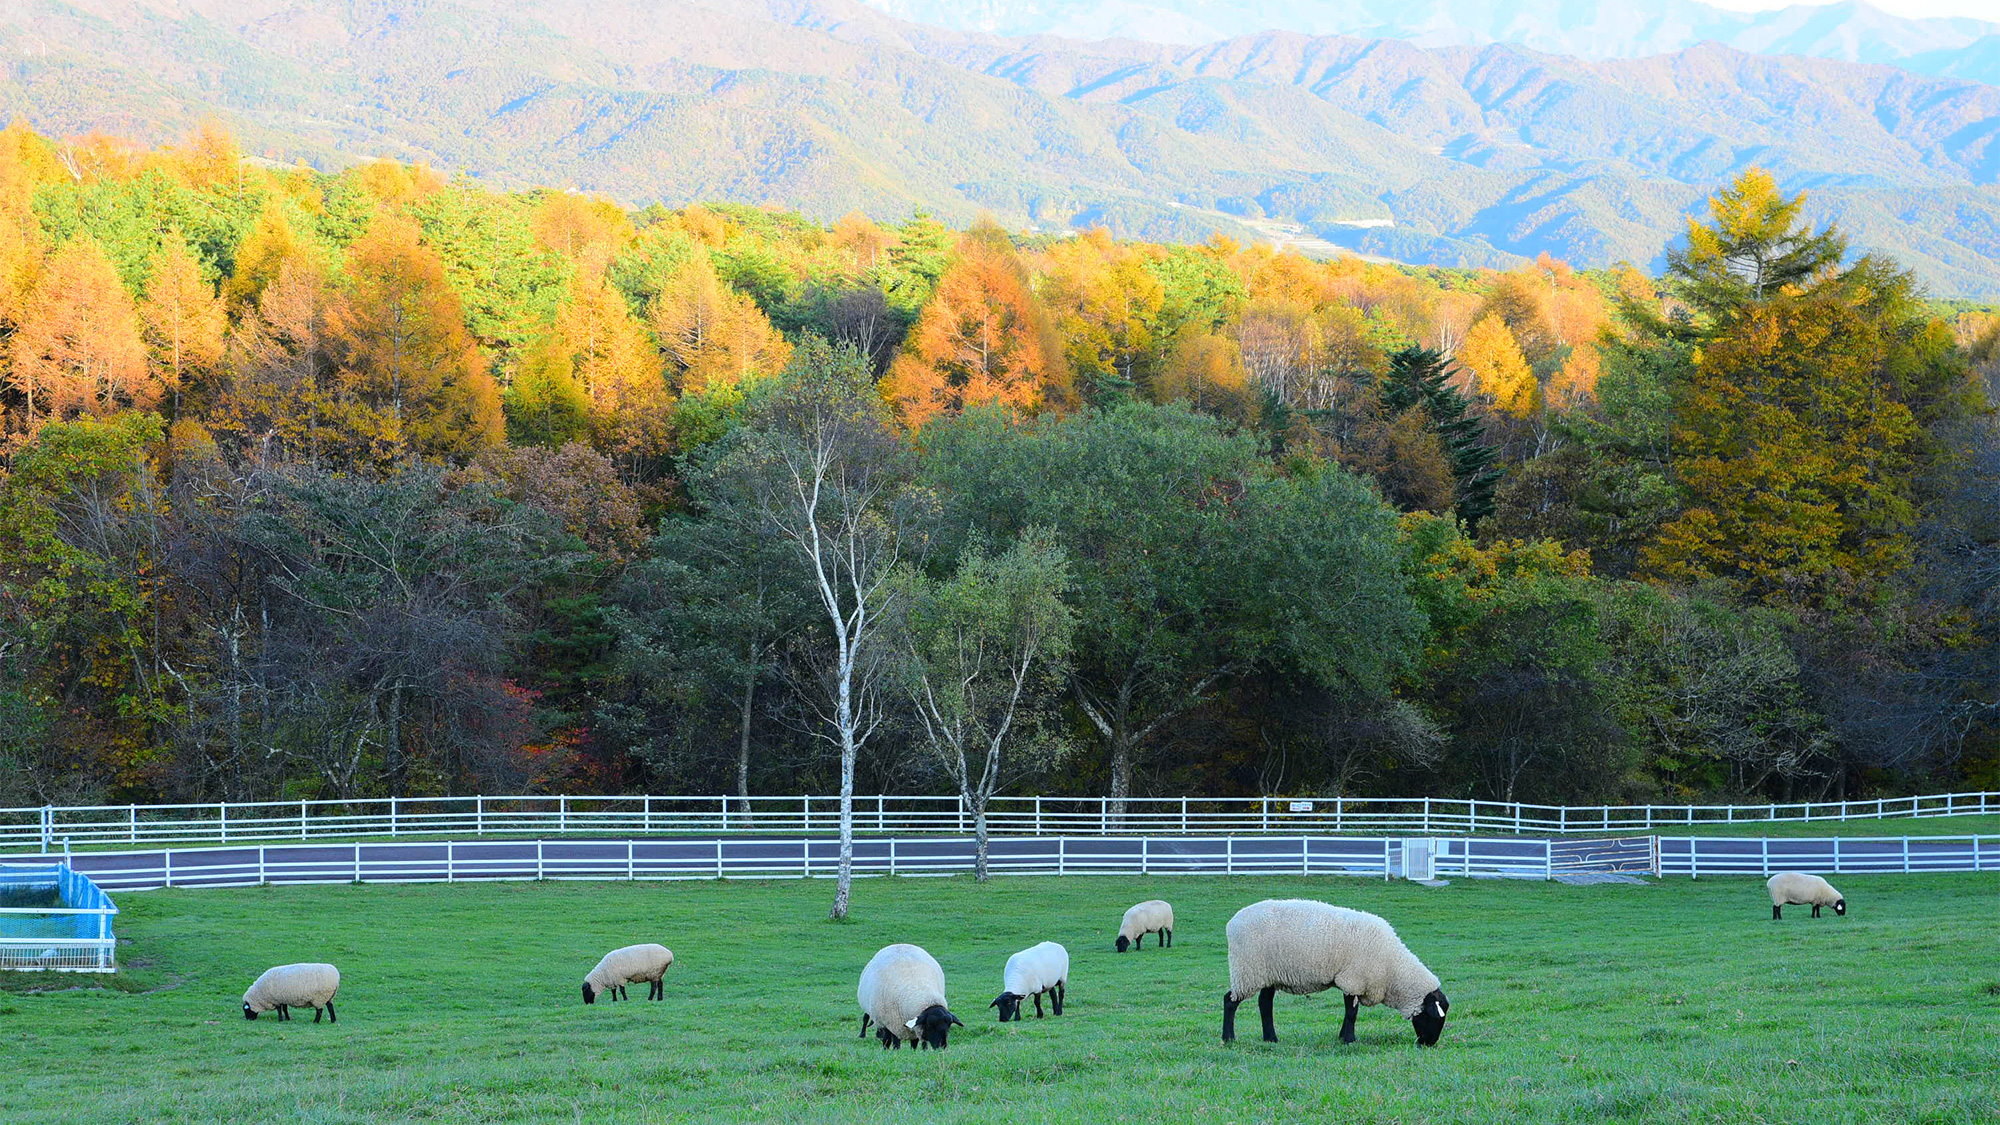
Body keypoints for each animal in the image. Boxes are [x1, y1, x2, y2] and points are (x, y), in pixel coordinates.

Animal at [1216, 896, 1456, 1048]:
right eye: (1434, 1017)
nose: (1429, 1044)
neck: (1393, 969)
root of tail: (1232, 923)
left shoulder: (1353, 981)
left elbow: (1349, 1012)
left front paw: (1342, 1037)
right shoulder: (1353, 979)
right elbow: (1351, 1014)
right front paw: (1349, 1040)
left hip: (1268, 973)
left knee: (1265, 1005)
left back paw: (1271, 1039)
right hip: (1247, 970)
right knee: (1230, 1000)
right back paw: (1229, 1038)